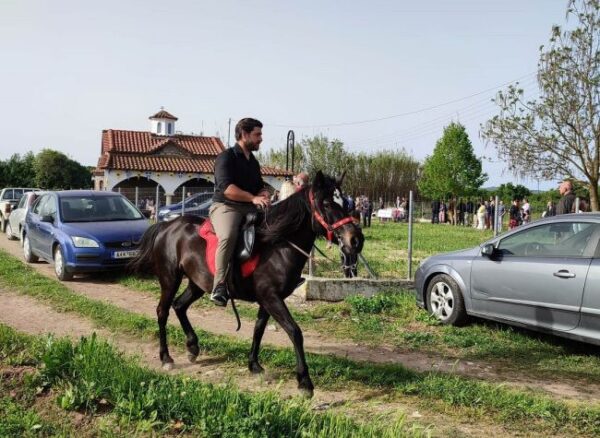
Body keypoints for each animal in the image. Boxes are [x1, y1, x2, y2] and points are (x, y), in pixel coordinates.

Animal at [127, 172, 364, 396]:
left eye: (346, 203)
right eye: (327, 203)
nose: (356, 240)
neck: (277, 245)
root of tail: (167, 226)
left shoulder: (267, 299)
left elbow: (259, 329)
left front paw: (254, 365)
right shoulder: (271, 297)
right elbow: (294, 331)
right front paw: (304, 381)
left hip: (197, 283)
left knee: (179, 306)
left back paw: (192, 347)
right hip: (170, 279)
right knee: (163, 311)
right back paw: (166, 357)